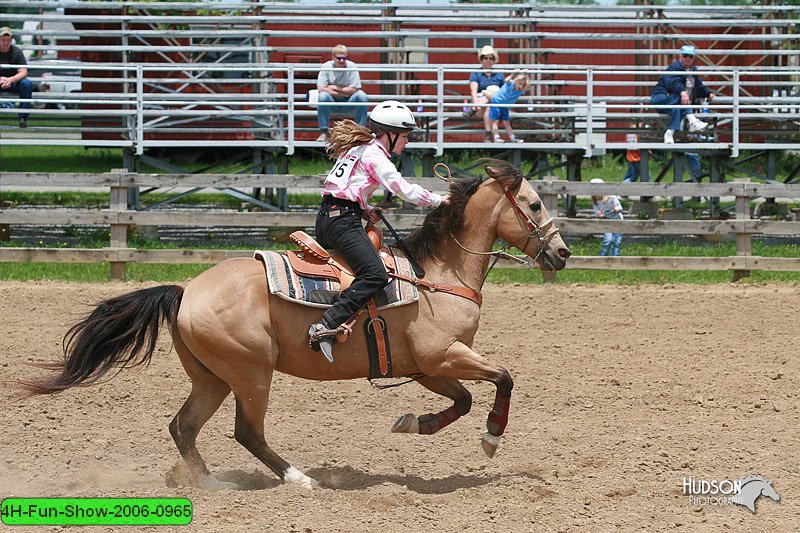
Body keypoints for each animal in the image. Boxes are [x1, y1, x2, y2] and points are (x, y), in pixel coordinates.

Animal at [17, 159, 568, 490]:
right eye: (535, 204)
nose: (562, 254)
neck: (437, 275)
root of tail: (186, 290)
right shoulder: (444, 356)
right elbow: (503, 379)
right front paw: (491, 439)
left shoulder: (428, 367)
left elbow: (464, 399)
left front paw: (413, 423)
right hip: (251, 374)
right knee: (246, 432)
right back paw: (300, 479)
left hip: (213, 377)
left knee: (184, 426)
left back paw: (212, 485)